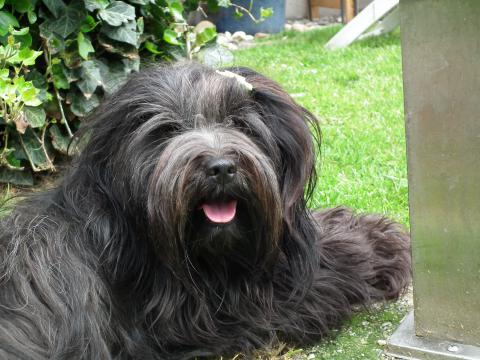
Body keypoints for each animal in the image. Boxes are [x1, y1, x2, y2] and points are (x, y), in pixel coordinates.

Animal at [0, 63, 408, 358]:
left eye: (240, 124)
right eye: (166, 131)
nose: (221, 167)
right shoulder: (211, 317)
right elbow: (320, 279)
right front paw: (373, 243)